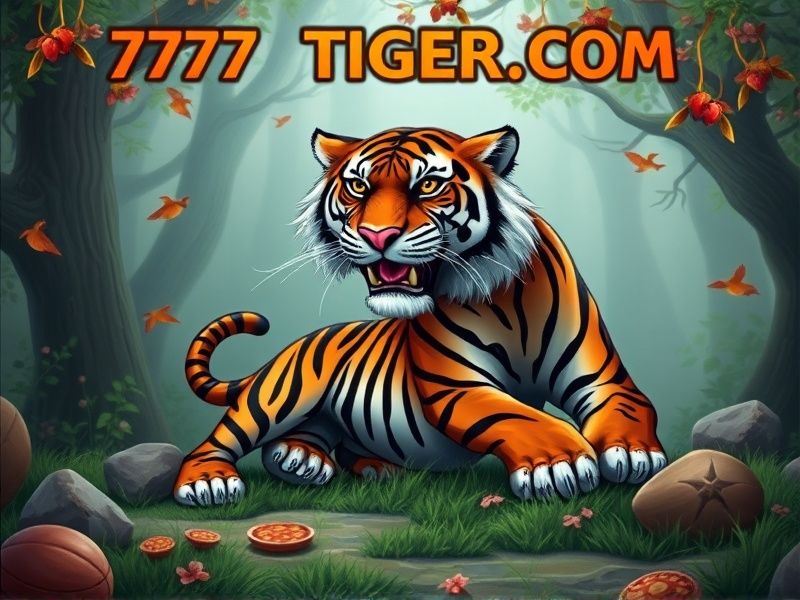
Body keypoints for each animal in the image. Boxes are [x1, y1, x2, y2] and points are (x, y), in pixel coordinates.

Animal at [173, 125, 667, 507]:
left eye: (427, 185)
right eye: (358, 186)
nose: (378, 235)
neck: (506, 301)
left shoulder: (605, 378)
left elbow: (631, 406)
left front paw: (632, 453)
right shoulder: (457, 386)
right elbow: (520, 416)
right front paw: (561, 462)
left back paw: (317, 461)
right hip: (279, 393)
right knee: (218, 441)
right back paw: (209, 482)